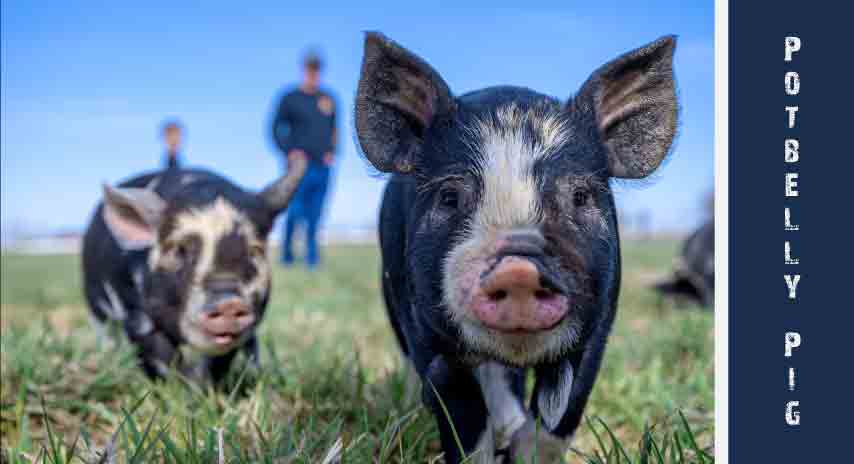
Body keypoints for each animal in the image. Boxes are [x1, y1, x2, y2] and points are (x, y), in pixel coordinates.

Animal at [81, 156, 308, 380]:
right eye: (179, 250)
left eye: (254, 251)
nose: (228, 302)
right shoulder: (136, 316)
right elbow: (162, 359)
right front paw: (179, 386)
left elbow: (217, 364)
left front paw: (204, 387)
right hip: (94, 302)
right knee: (106, 334)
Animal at [354, 33, 676, 464]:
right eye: (449, 196)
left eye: (580, 195)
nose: (519, 268)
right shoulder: (423, 327)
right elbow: (463, 420)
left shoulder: (599, 325)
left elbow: (560, 414)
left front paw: (521, 445)